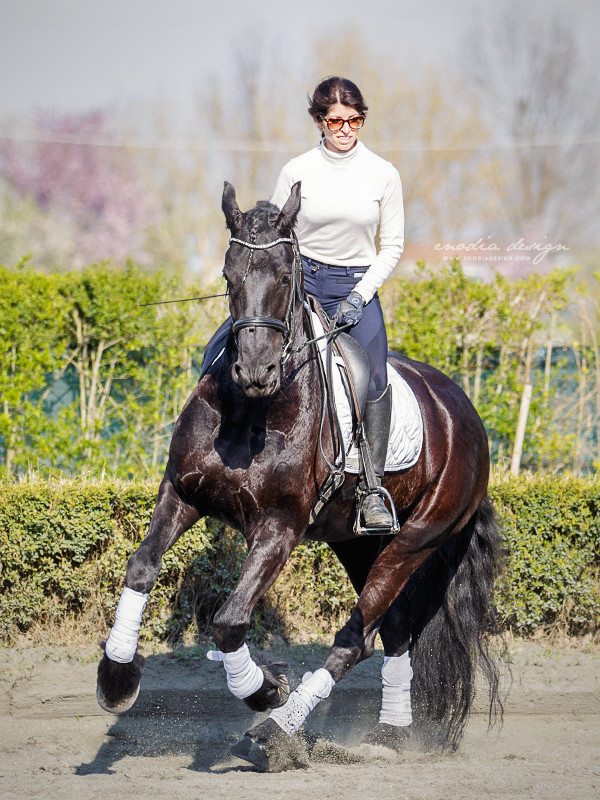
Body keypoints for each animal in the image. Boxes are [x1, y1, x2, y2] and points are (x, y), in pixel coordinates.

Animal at [98, 181, 502, 768]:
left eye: (287, 277)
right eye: (228, 275)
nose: (257, 370)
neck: (251, 410)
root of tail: (464, 413)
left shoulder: (279, 528)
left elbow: (229, 620)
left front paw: (266, 690)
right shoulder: (182, 493)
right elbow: (142, 566)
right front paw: (116, 675)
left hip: (415, 541)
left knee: (355, 637)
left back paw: (276, 731)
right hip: (358, 544)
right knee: (394, 630)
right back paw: (389, 735)